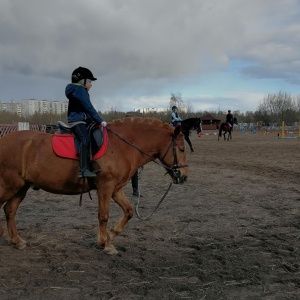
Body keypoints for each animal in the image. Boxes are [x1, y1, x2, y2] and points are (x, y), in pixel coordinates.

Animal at [0, 118, 188, 254]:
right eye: (181, 149)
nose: (184, 176)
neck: (121, 146)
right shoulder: (106, 187)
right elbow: (103, 215)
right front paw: (106, 244)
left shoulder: (116, 189)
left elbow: (128, 211)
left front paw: (109, 235)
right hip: (10, 185)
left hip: (20, 187)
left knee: (10, 210)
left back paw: (17, 241)